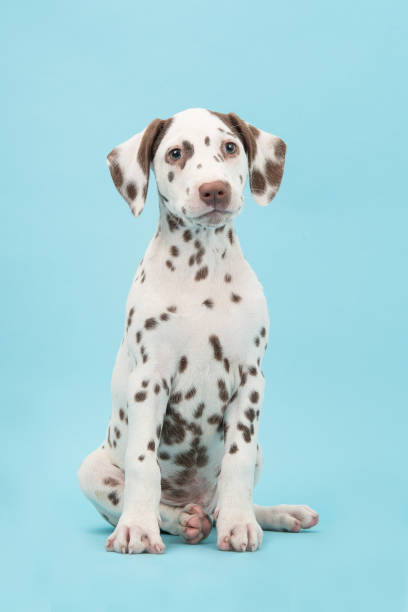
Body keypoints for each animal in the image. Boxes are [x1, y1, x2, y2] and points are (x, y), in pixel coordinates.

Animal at [76, 107, 318, 552]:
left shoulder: (251, 380)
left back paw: (270, 514)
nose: (215, 190)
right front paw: (138, 528)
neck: (200, 268)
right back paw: (182, 520)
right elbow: (143, 463)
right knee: (163, 507)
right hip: (91, 469)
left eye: (230, 147)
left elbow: (237, 462)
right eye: (175, 153)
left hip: (260, 451)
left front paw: (240, 525)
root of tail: (196, 502)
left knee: (226, 499)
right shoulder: (149, 379)